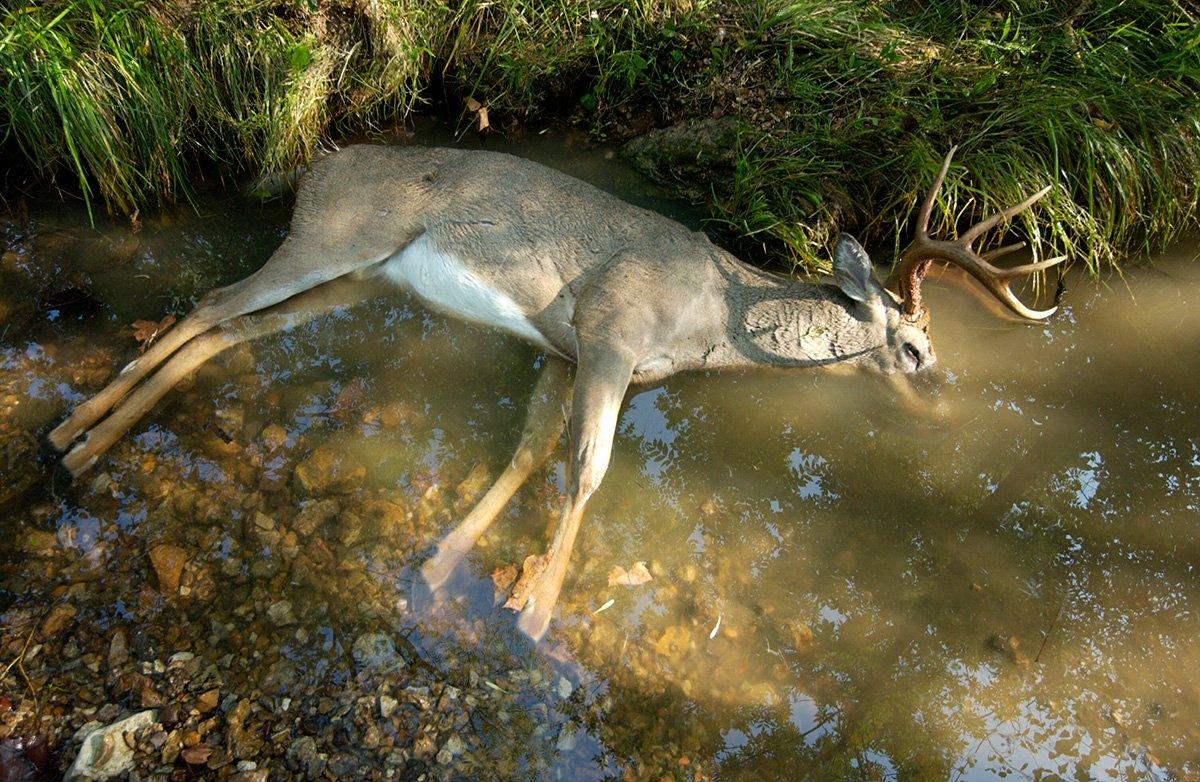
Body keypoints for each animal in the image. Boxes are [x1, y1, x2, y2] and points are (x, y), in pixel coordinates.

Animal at [46, 145, 1065, 642]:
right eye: (916, 347)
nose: (942, 403)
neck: (710, 315)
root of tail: (314, 165)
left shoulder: (560, 353)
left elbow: (529, 447)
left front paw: (440, 566)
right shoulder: (610, 335)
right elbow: (586, 470)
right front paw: (534, 615)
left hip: (365, 279)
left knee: (228, 329)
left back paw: (75, 443)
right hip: (334, 237)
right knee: (213, 300)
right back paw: (75, 436)